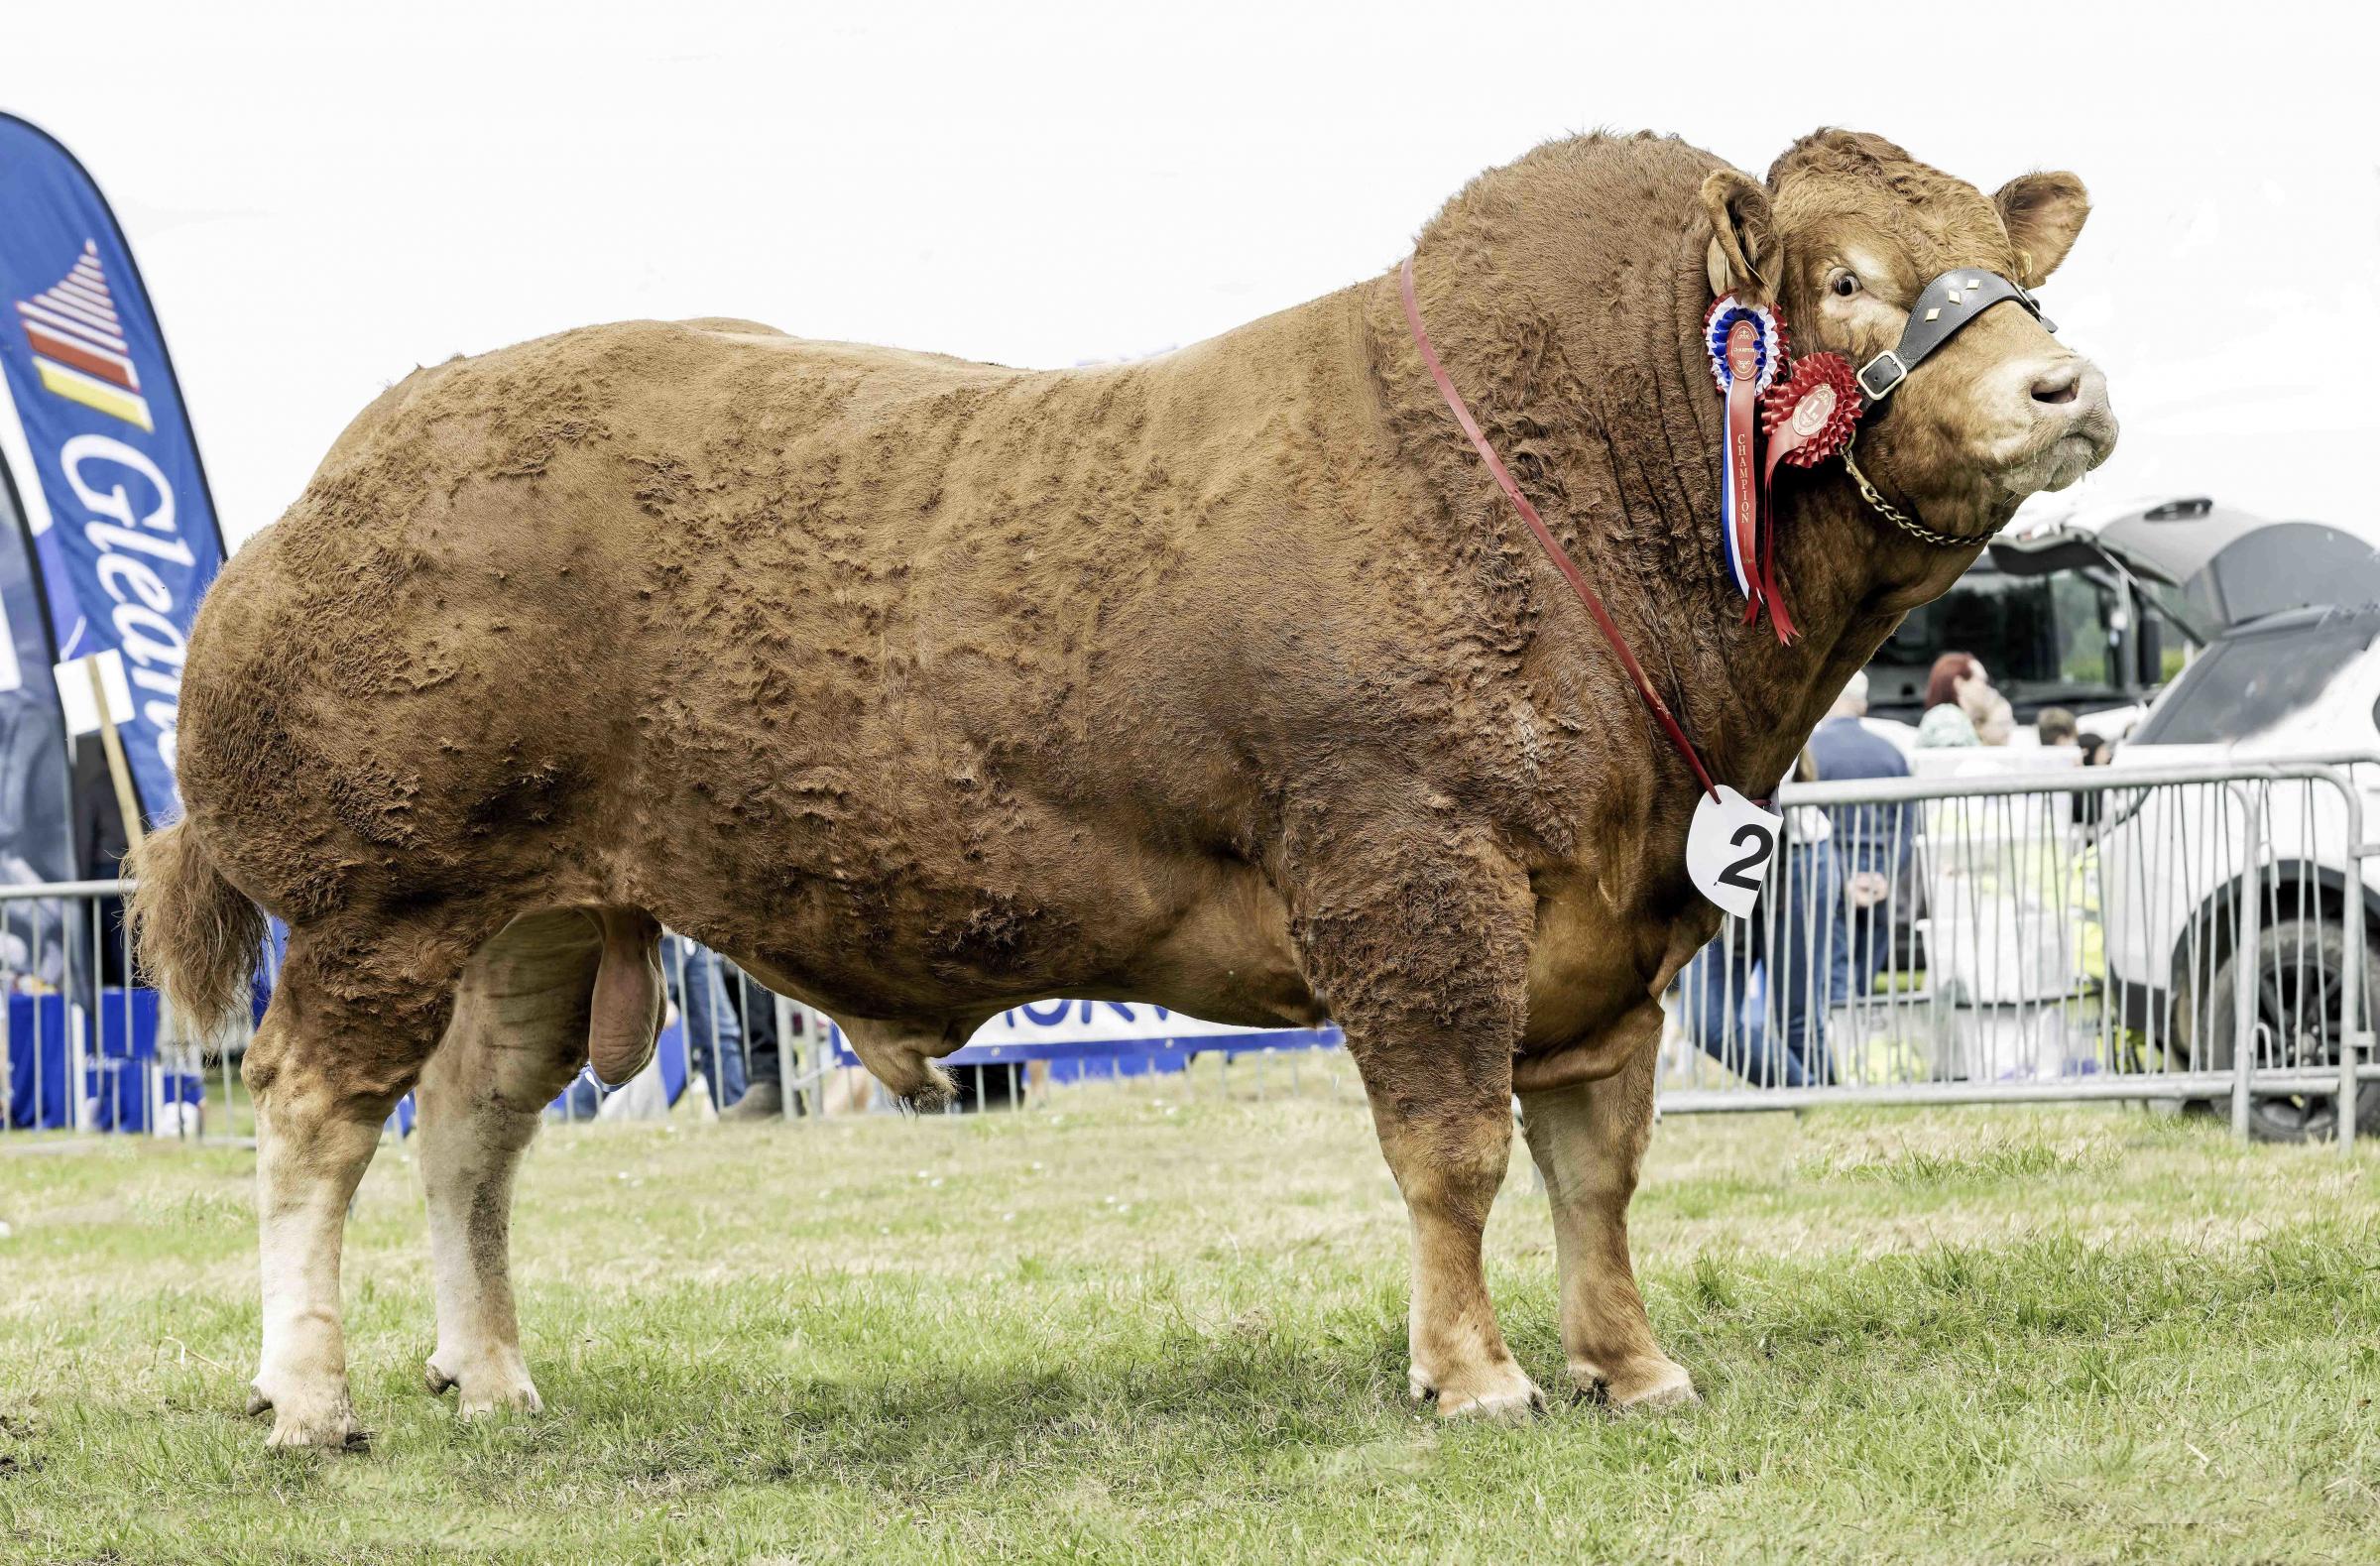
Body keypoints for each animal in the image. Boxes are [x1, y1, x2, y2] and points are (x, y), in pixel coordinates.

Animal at [130, 127, 2113, 1447]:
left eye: (2022, 268)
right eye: (1845, 279)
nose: (2066, 380)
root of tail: (352, 466)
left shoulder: (1613, 924)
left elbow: (1597, 1167)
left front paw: (1631, 1362)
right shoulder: (1412, 874)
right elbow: (1455, 1146)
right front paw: (1474, 1372)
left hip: (535, 908)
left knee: (471, 1129)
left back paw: (488, 1368)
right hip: (382, 895)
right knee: (313, 1115)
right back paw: (308, 1393)